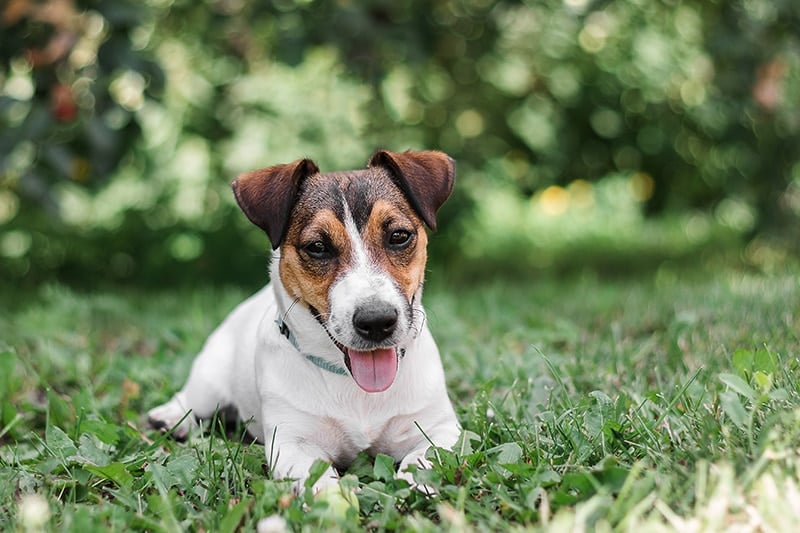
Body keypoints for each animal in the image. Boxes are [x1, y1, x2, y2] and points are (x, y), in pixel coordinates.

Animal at [148, 149, 462, 490]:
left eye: (399, 236)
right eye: (318, 247)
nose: (377, 321)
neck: (353, 385)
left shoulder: (440, 428)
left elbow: (424, 459)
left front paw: (416, 483)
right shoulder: (292, 444)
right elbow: (320, 482)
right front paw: (339, 499)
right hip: (210, 381)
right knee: (191, 399)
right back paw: (169, 417)